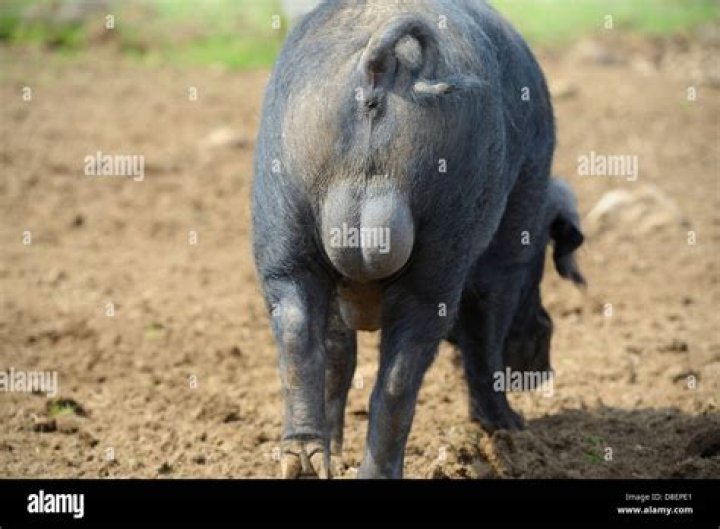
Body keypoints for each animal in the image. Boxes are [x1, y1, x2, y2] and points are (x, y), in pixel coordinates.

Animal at [253, 0, 578, 478]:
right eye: (540, 263)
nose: (542, 369)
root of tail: (379, 64)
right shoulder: (509, 245)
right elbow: (485, 334)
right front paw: (512, 428)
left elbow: (337, 352)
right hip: (443, 239)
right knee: (402, 373)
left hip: (283, 210)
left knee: (297, 328)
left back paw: (307, 462)